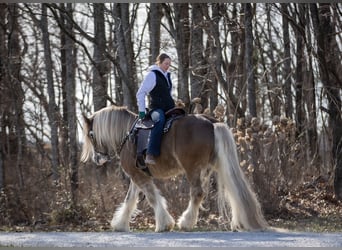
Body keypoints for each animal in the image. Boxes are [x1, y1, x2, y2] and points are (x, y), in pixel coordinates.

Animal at [81, 105, 270, 232]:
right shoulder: (137, 175)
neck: (128, 135)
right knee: (232, 191)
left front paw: (164, 224)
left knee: (197, 193)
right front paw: (120, 224)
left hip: (192, 168)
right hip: (211, 168)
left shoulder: (139, 176)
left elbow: (152, 198)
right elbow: (130, 199)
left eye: (91, 134)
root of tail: (210, 122)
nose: (98, 159)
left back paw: (186, 222)